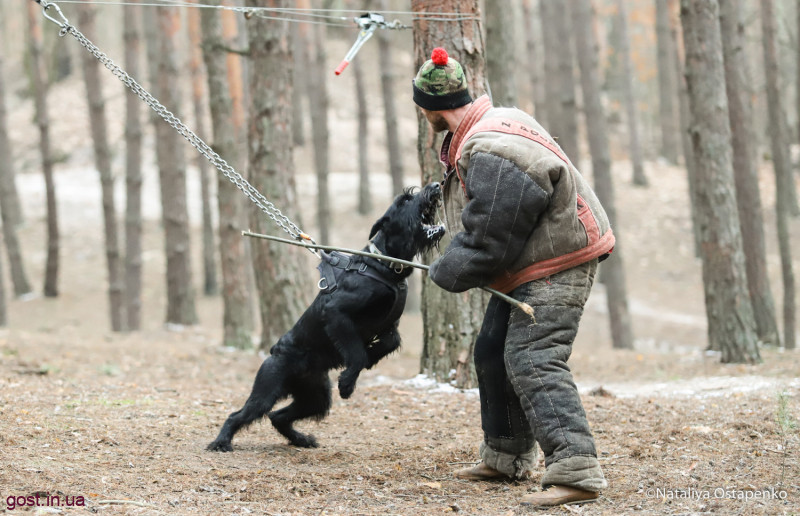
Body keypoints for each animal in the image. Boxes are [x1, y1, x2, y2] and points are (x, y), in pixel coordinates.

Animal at [207, 182, 445, 451]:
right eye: (405, 200)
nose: (435, 185)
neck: (384, 265)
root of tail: (274, 351)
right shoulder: (336, 312)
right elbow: (356, 353)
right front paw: (347, 383)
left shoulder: (389, 327)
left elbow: (388, 344)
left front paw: (369, 359)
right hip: (267, 390)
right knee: (240, 414)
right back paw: (221, 442)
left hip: (316, 397)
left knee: (278, 416)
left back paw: (301, 439)